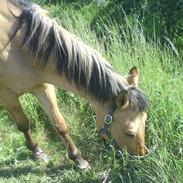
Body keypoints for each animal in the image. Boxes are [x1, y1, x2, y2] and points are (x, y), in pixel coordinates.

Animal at [0, 0, 149, 169]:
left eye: (145, 121)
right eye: (129, 132)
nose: (140, 157)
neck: (18, 45)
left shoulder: (42, 87)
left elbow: (60, 124)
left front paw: (78, 160)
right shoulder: (7, 95)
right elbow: (23, 124)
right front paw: (36, 151)